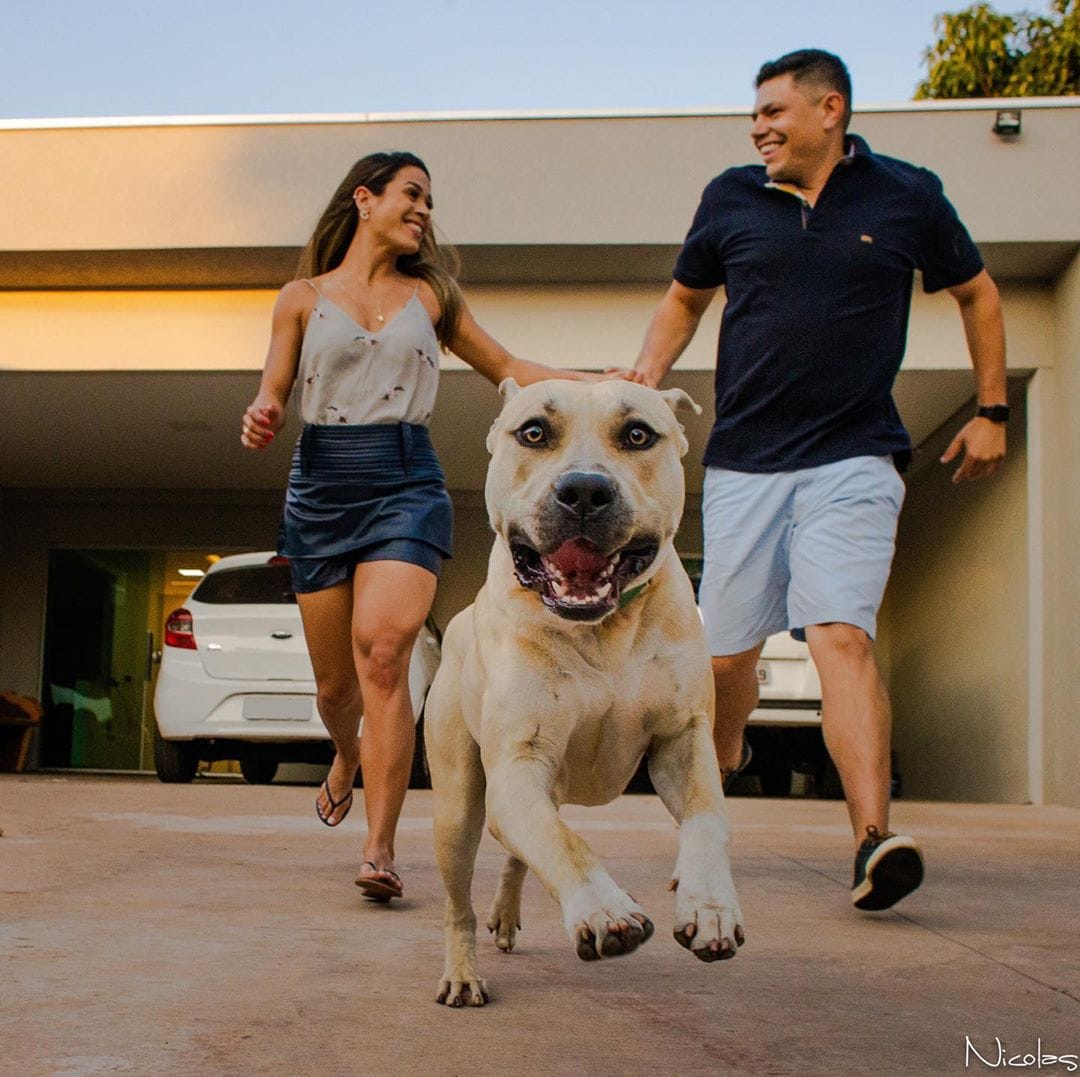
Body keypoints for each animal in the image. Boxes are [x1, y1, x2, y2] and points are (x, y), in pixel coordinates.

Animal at [425, 380, 747, 1006]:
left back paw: (506, 916)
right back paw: (462, 971)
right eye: (533, 432)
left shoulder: (683, 740)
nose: (584, 490)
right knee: (461, 899)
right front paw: (604, 909)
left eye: (639, 434)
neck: (604, 630)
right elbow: (563, 843)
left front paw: (710, 904)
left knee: (518, 852)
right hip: (457, 806)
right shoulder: (518, 765)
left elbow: (708, 819)